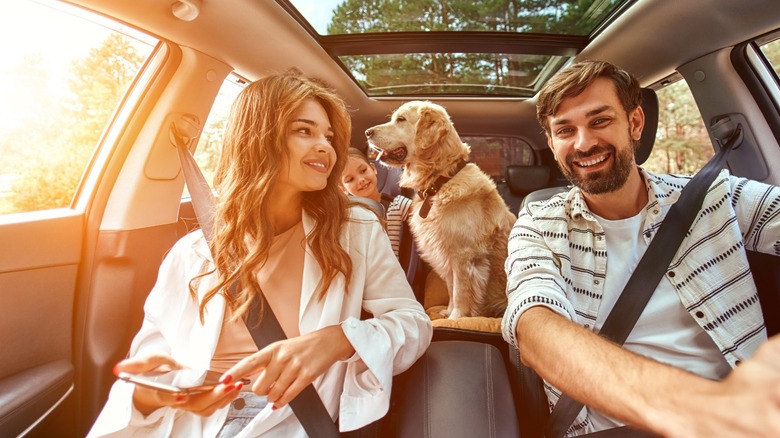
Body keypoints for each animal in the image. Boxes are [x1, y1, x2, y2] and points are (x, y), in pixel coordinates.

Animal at [368, 100, 516, 316]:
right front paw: (448, 311)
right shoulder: (444, 251)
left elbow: (460, 291)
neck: (440, 182)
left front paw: (457, 317)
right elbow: (451, 287)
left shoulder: (463, 255)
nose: (367, 132)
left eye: (401, 119)